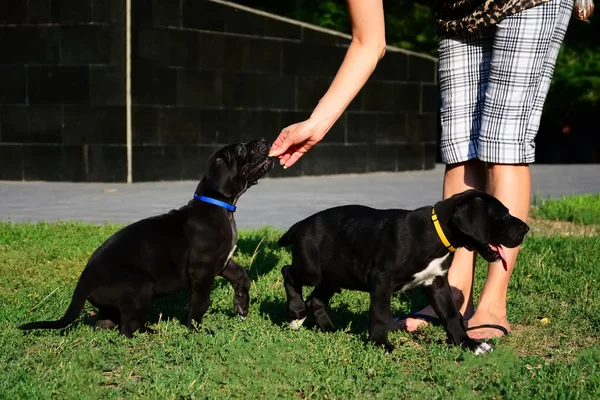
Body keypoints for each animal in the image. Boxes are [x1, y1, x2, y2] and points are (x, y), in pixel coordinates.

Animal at [278, 189, 528, 354]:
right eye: (504, 215)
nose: (526, 228)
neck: (436, 233)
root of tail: (299, 225)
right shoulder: (382, 281)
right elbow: (381, 315)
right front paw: (380, 344)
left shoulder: (437, 283)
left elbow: (451, 314)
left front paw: (467, 343)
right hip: (312, 270)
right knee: (287, 271)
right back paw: (296, 313)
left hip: (334, 274)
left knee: (316, 300)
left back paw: (330, 329)